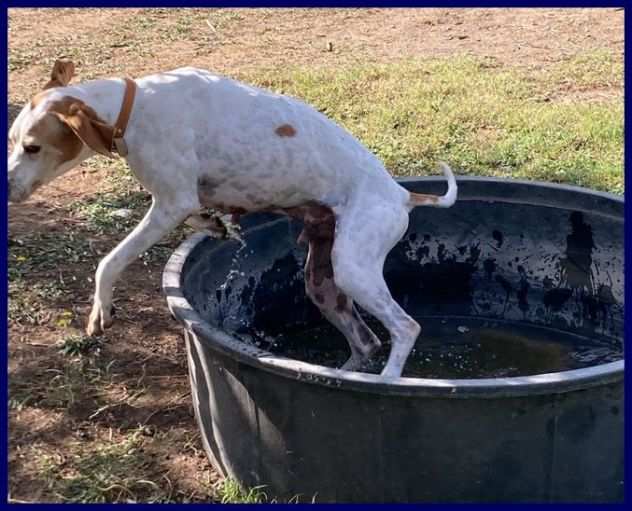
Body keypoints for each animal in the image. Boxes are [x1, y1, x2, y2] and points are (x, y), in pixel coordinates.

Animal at [7, 61, 456, 380]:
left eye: (33, 147)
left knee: (405, 328)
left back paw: (389, 381)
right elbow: (202, 216)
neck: (129, 109)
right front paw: (214, 225)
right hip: (323, 281)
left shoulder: (170, 202)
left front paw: (100, 309)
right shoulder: (183, 200)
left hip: (354, 269)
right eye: (12, 140)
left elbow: (110, 261)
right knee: (365, 343)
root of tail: (401, 195)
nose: (5, 186)